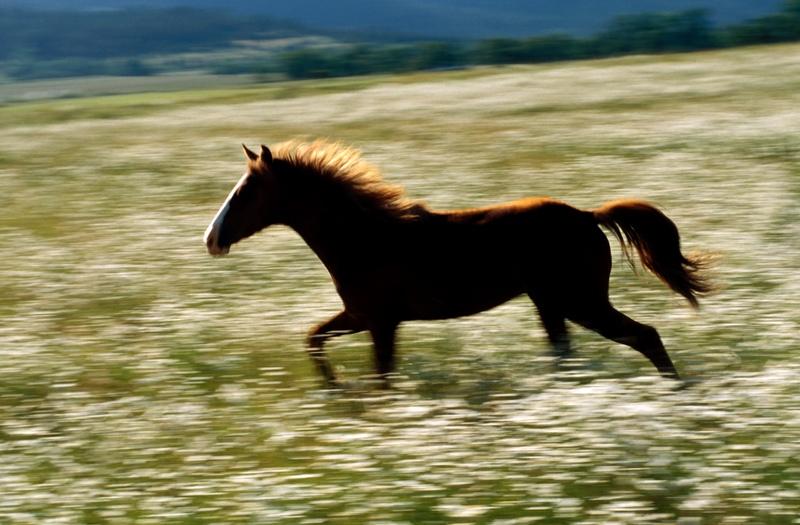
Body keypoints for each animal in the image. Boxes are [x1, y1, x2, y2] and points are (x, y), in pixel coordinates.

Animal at [205, 139, 712, 384]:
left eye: (246, 192)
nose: (211, 239)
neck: (366, 238)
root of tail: (588, 215)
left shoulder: (380, 321)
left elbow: (381, 376)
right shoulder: (359, 315)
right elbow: (313, 339)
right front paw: (336, 393)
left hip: (580, 300)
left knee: (645, 336)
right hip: (551, 303)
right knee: (567, 352)